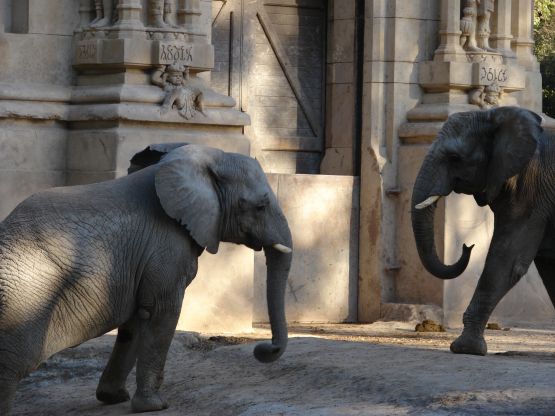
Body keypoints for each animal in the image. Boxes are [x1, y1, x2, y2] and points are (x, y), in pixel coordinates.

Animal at [0, 142, 294, 412]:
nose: (261, 349)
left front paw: (114, 398)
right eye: (261, 206)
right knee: (13, 364)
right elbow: (163, 312)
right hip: (27, 293)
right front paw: (154, 406)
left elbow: (137, 320)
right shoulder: (166, 246)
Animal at [410, 105, 552, 356]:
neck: (493, 114)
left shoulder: (530, 188)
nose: (468, 246)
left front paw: (466, 348)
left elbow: (507, 261)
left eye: (455, 158)